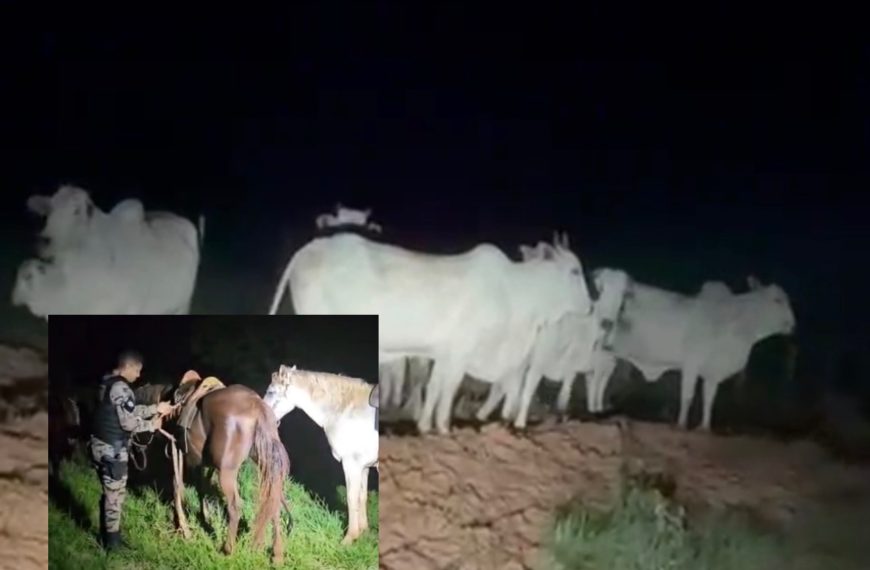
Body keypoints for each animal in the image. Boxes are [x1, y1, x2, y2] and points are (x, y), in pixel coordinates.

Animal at [160, 371, 292, 563]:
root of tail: (258, 407)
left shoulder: (177, 448)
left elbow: (177, 486)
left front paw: (183, 528)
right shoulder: (202, 463)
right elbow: (201, 488)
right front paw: (203, 516)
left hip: (228, 471)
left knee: (235, 505)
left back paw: (227, 549)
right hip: (265, 464)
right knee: (273, 504)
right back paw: (277, 555)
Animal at [263, 364, 378, 545]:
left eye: (271, 392)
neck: (346, 410)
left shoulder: (351, 464)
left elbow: (352, 499)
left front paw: (349, 538)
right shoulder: (364, 466)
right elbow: (362, 497)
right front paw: (363, 532)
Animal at [268, 231, 594, 434]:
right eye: (575, 271)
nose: (590, 307)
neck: (515, 295)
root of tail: (312, 247)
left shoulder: (445, 354)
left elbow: (436, 387)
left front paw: (425, 425)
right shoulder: (462, 351)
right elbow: (448, 390)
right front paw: (443, 427)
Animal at [586, 274, 796, 431]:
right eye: (777, 300)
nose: (793, 325)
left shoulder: (712, 373)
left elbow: (709, 399)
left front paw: (705, 427)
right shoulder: (691, 364)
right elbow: (687, 396)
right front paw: (681, 425)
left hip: (609, 354)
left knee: (601, 377)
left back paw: (598, 408)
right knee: (595, 377)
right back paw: (594, 411)